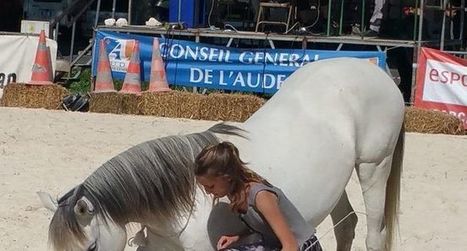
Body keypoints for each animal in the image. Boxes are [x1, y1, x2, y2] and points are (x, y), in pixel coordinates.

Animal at [41, 57, 406, 251]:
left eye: (90, 247)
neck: (182, 201)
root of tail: (374, 69)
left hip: (374, 167)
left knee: (374, 233)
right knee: (347, 225)